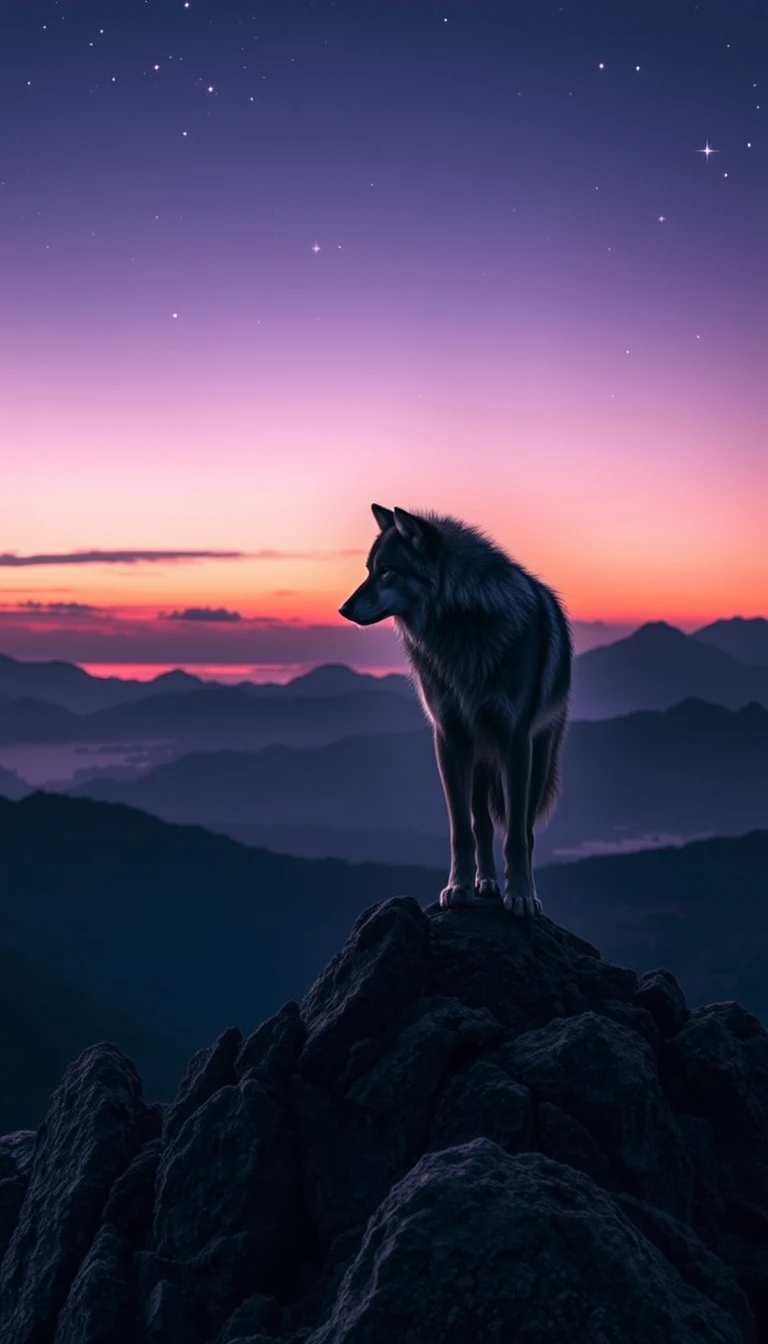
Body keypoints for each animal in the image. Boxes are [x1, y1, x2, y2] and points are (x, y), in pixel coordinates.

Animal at [339, 505, 572, 916]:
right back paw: (486, 883)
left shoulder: (515, 739)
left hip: (538, 759)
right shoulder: (449, 736)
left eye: (387, 571)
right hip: (478, 757)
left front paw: (521, 896)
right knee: (482, 823)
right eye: (369, 569)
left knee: (524, 827)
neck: (461, 629)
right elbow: (462, 829)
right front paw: (459, 887)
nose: (343, 608)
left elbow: (516, 836)